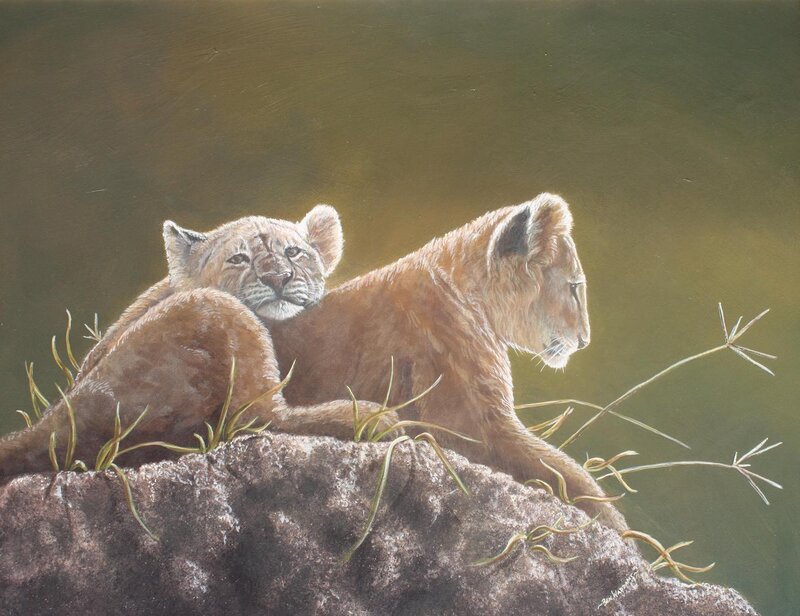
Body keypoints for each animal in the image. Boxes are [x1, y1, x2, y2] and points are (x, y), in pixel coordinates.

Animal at [0, 205, 393, 481]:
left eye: (294, 253)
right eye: (238, 258)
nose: (278, 278)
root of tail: (53, 420)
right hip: (216, 313)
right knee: (259, 418)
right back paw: (370, 416)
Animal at [270, 193, 628, 532]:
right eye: (575, 287)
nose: (585, 340)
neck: (471, 293)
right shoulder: (472, 428)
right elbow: (570, 475)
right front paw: (624, 532)